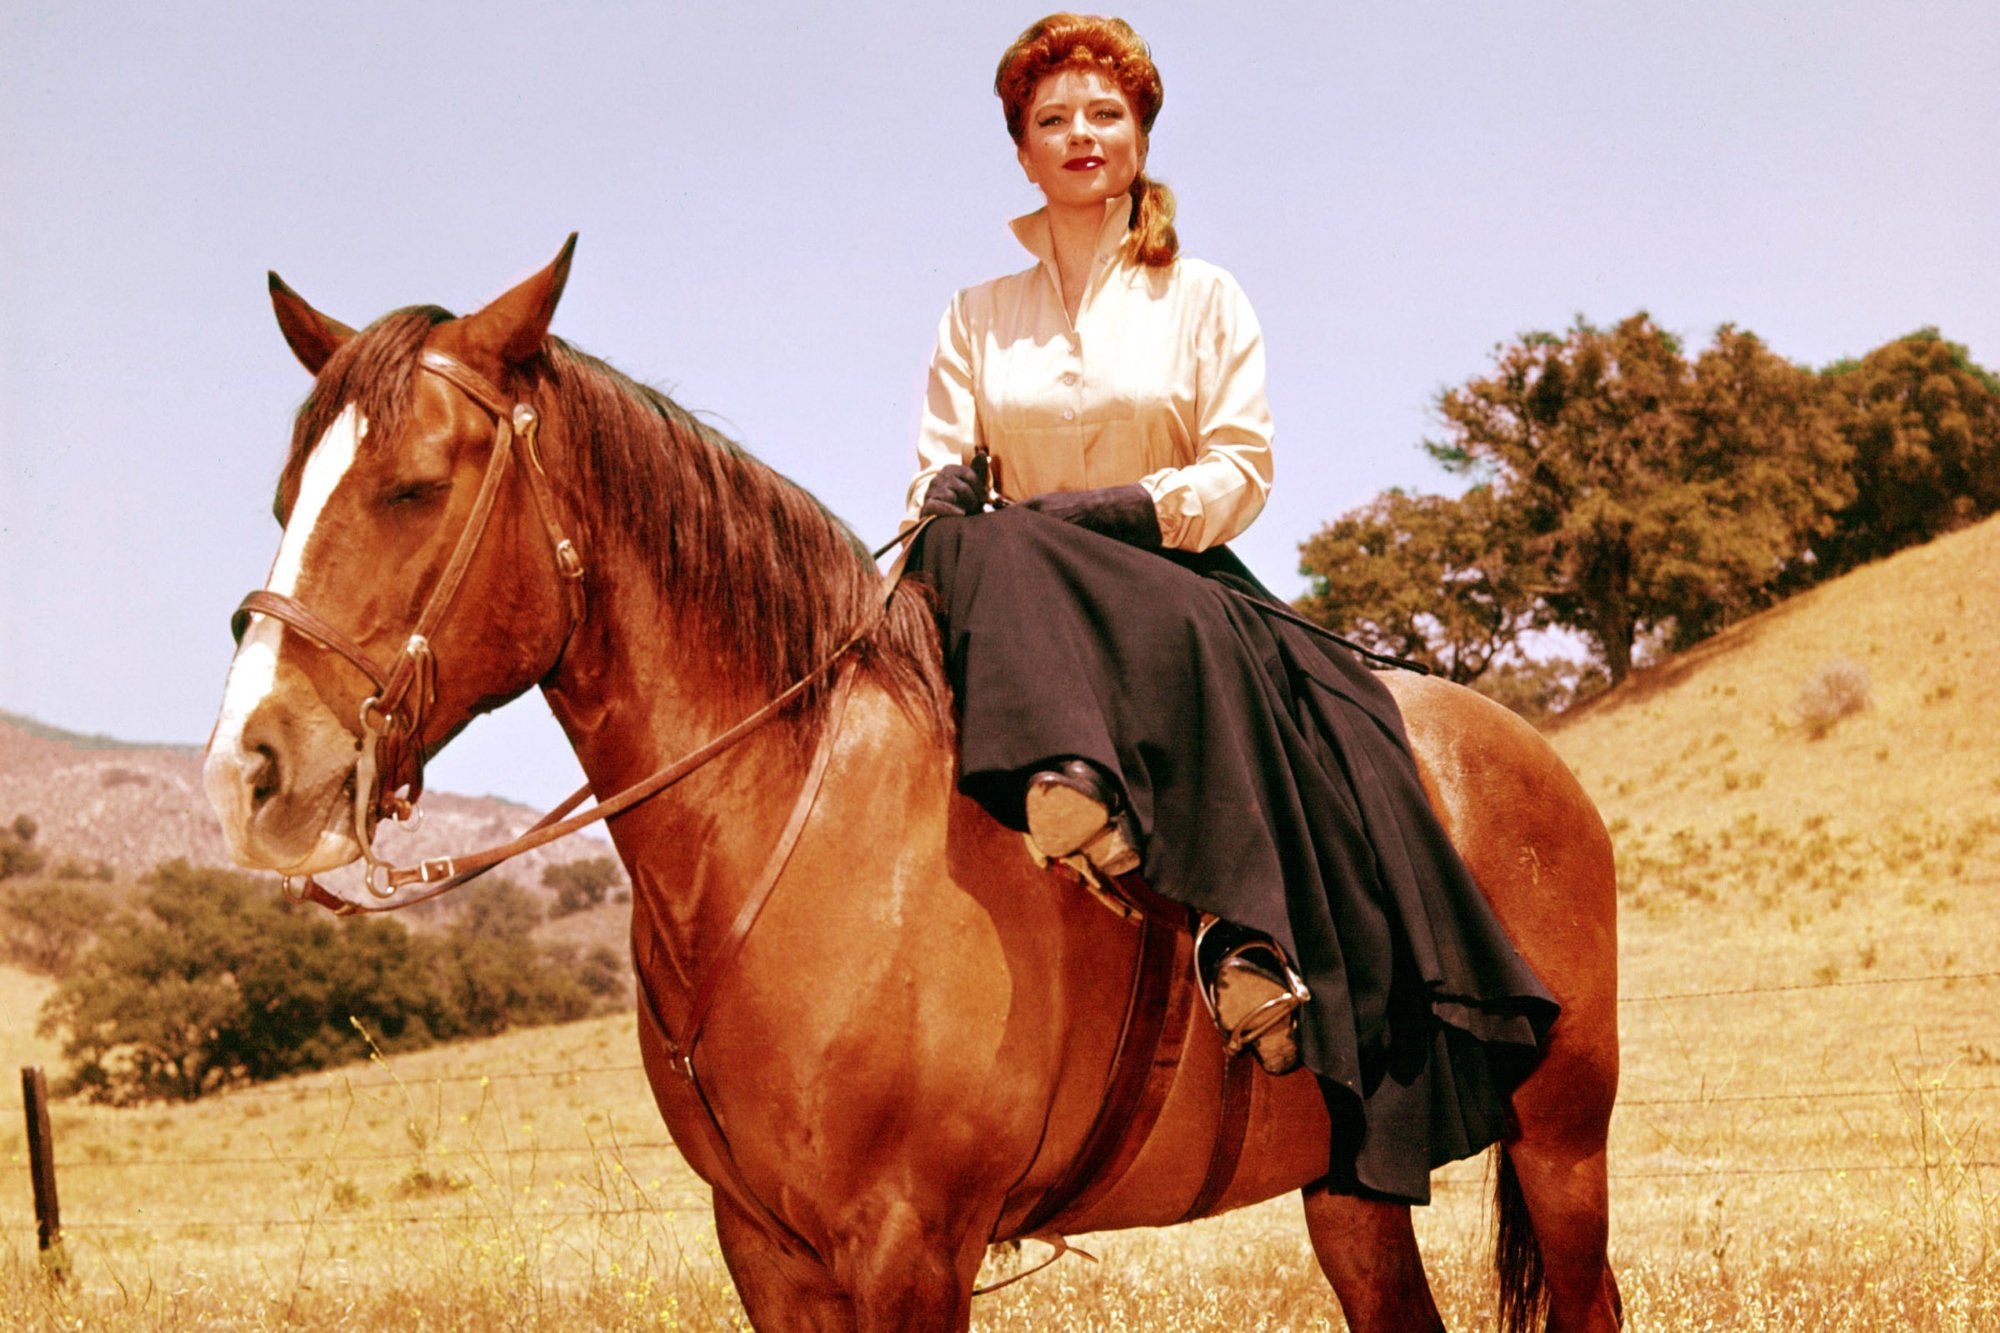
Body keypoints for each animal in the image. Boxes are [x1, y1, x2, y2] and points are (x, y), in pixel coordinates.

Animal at [199, 241, 1608, 1328]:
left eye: (413, 488)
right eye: (283, 497)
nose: (249, 772)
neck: (788, 828)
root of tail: (1537, 764)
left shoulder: (908, 1247)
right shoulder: (769, 1252)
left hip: (1560, 1144)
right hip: (1356, 1182)